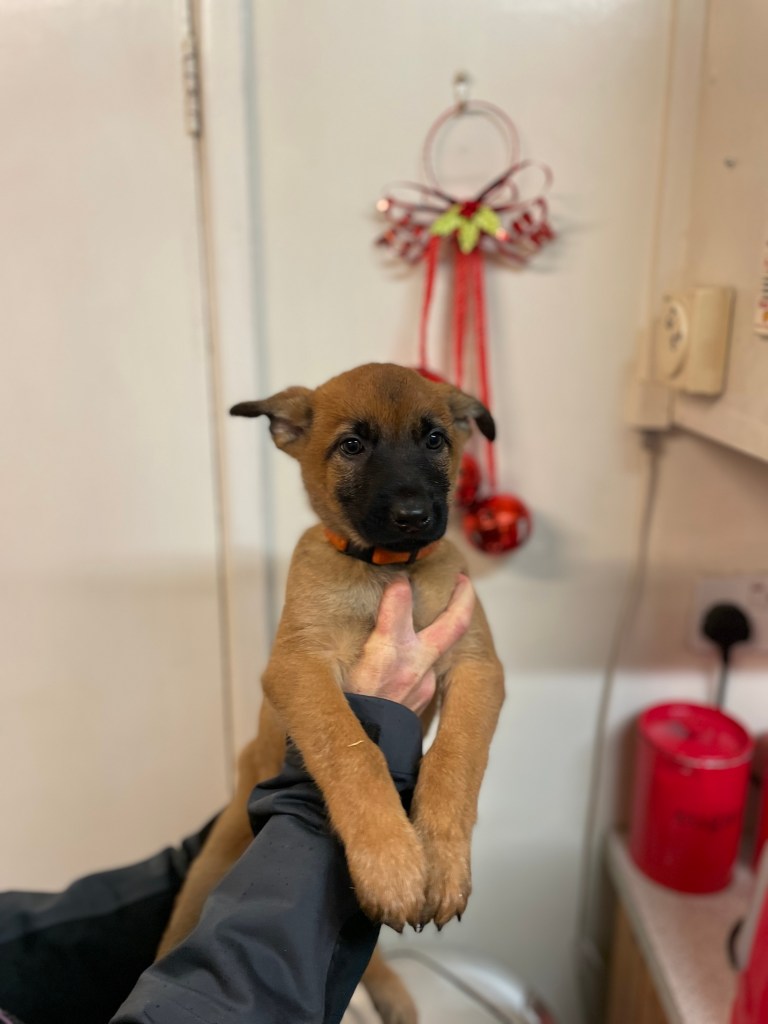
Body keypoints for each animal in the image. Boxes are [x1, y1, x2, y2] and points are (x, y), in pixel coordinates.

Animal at [157, 363, 504, 1024]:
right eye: (351, 446)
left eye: (435, 440)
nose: (413, 515)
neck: (387, 569)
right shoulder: (299, 668)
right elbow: (353, 751)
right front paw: (390, 861)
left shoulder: (477, 667)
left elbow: (456, 759)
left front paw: (444, 859)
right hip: (204, 879)